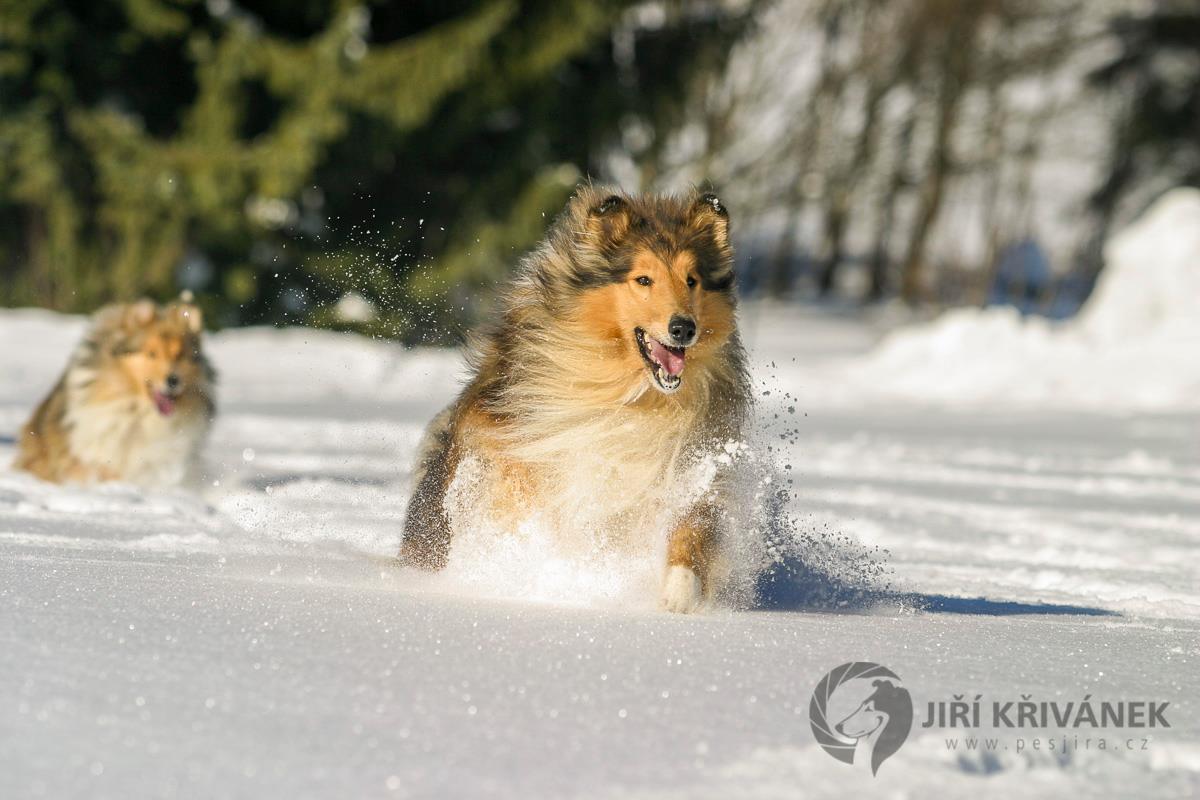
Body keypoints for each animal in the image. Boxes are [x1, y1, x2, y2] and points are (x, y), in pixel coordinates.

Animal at [398, 188, 744, 614]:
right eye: (643, 279)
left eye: (691, 280)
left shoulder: (693, 464)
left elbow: (692, 526)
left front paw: (681, 592)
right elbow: (524, 488)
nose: (683, 328)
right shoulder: (510, 436)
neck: (629, 396)